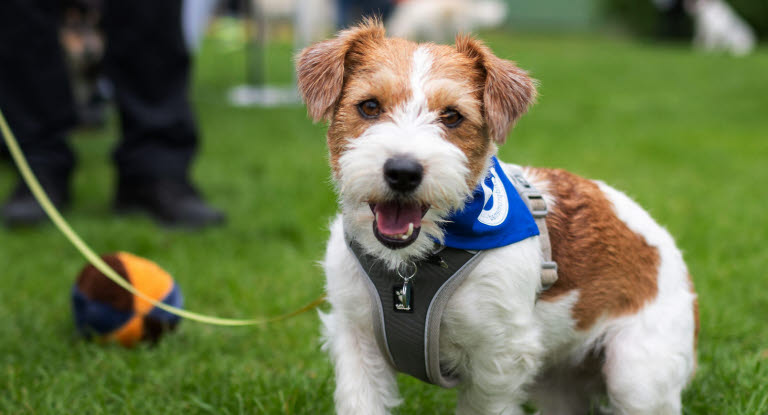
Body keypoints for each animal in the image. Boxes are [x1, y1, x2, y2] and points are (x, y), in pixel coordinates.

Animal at [296, 21, 704, 414]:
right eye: (369, 106)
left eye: (452, 115)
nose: (402, 171)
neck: (412, 266)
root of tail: (671, 251)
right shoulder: (356, 339)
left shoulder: (500, 355)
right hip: (557, 386)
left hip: (636, 378)